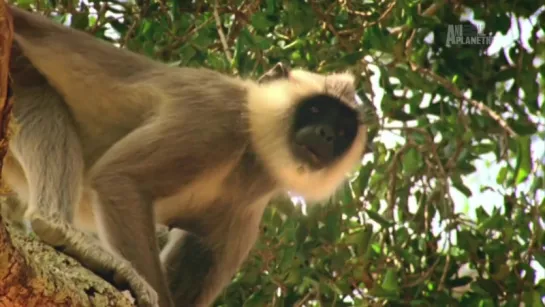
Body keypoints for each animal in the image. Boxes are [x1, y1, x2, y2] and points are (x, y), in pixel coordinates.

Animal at [3, 4, 366, 307]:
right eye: (315, 110)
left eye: (342, 130)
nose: (326, 134)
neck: (251, 155)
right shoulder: (216, 119)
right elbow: (121, 178)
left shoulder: (244, 211)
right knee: (39, 95)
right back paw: (60, 229)